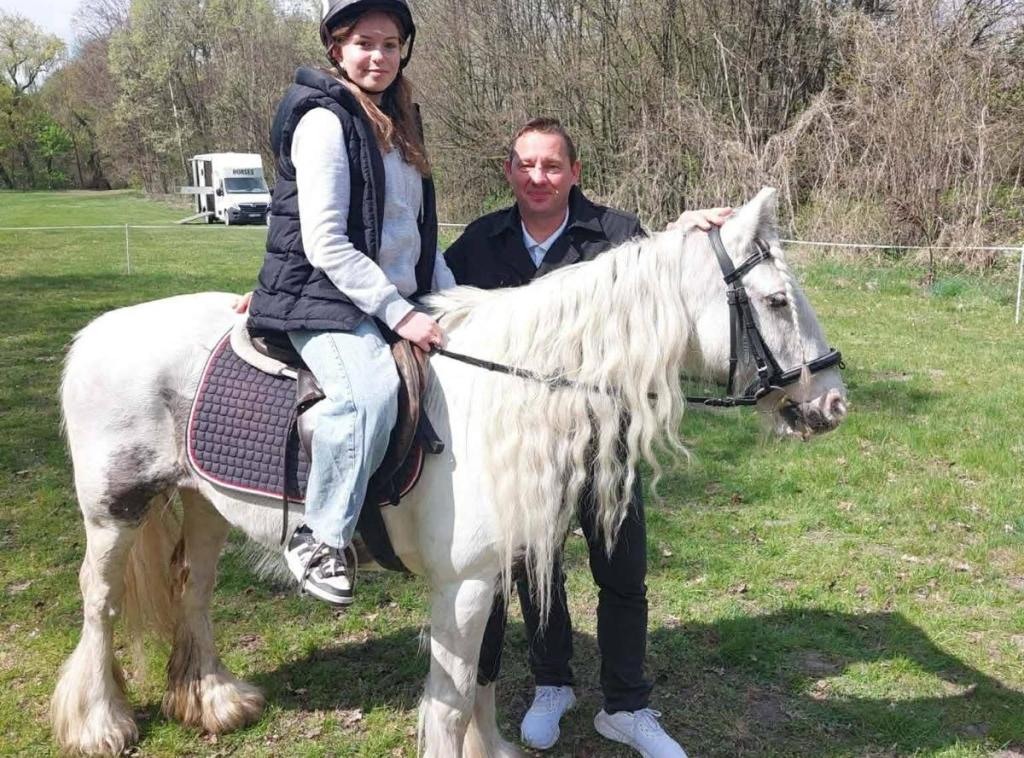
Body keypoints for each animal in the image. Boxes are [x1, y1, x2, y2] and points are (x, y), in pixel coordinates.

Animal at [50, 187, 847, 757]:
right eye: (777, 301)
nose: (834, 401)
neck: (507, 391)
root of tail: (96, 332)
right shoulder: (461, 585)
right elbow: (452, 697)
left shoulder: (490, 574)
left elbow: (483, 680)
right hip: (115, 510)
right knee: (100, 600)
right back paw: (100, 722)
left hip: (204, 504)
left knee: (194, 588)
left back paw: (213, 700)